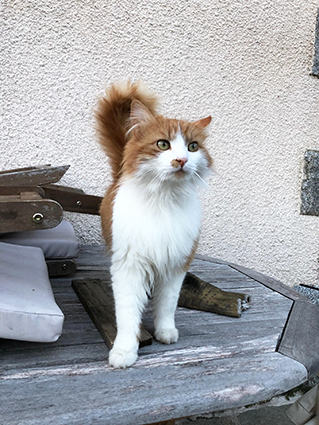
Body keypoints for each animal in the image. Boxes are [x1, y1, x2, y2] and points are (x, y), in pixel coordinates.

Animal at [96, 81, 214, 366]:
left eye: (192, 147)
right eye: (163, 144)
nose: (181, 160)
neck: (164, 200)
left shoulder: (176, 264)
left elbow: (167, 304)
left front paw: (165, 331)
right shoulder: (128, 266)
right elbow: (127, 313)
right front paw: (125, 350)